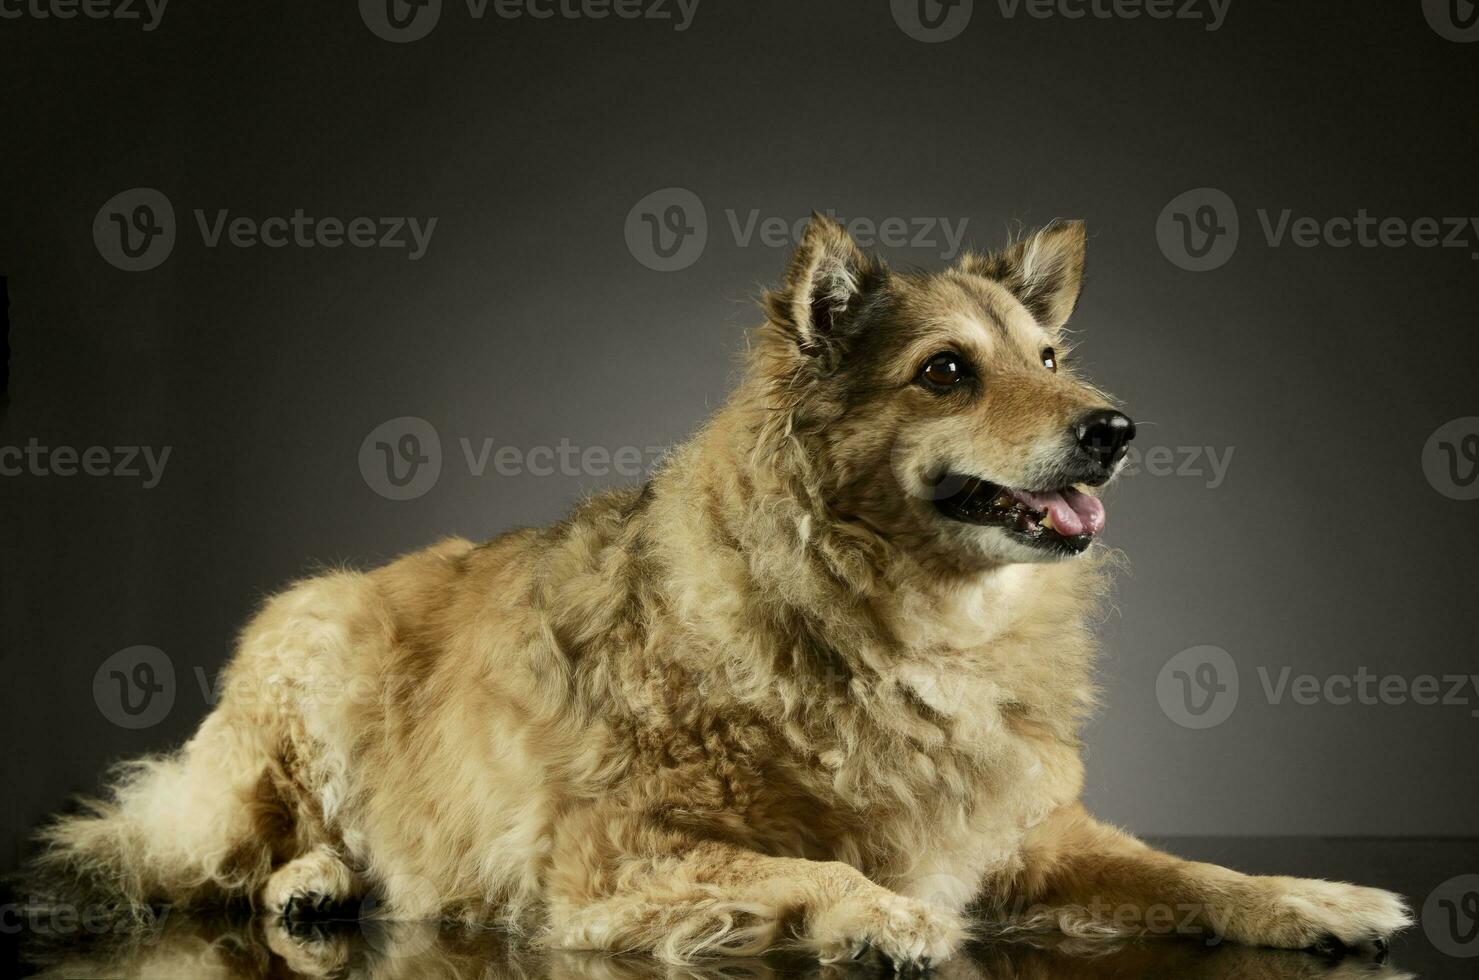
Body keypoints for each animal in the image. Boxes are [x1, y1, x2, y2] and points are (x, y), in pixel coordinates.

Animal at [31, 214, 1408, 963]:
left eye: (1053, 355)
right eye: (947, 371)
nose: (1116, 428)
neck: (893, 620)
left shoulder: (1027, 837)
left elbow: (1195, 873)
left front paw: (1312, 894)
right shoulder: (611, 858)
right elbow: (827, 872)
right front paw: (883, 917)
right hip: (308, 653)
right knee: (239, 844)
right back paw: (312, 879)